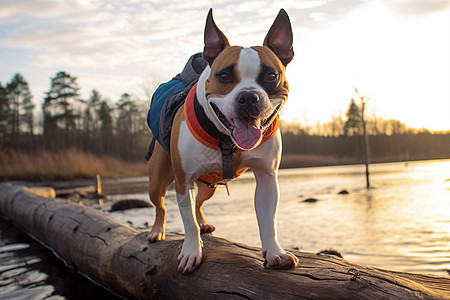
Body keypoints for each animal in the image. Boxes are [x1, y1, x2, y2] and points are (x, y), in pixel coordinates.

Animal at [146, 8, 298, 274]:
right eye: (224, 76)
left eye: (271, 76)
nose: (248, 97)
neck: (228, 140)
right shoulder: (184, 181)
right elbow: (187, 224)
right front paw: (191, 252)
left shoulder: (267, 178)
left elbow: (268, 220)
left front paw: (274, 252)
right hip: (157, 180)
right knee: (161, 206)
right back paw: (157, 231)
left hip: (209, 186)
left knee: (199, 203)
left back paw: (203, 223)